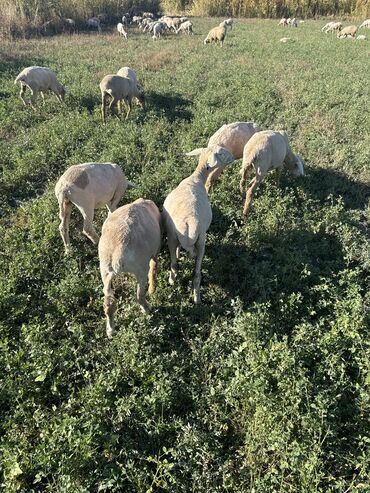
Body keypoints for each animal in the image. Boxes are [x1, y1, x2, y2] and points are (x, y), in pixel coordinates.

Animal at [99, 198, 161, 336]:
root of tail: (115, 261)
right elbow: (154, 263)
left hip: (104, 269)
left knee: (108, 303)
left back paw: (110, 330)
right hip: (140, 269)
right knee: (139, 295)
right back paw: (147, 309)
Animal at [163, 144, 234, 302]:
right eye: (220, 153)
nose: (233, 157)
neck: (196, 177)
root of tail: (189, 223)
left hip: (172, 235)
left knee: (175, 264)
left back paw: (173, 281)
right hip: (201, 239)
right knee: (196, 273)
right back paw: (197, 298)